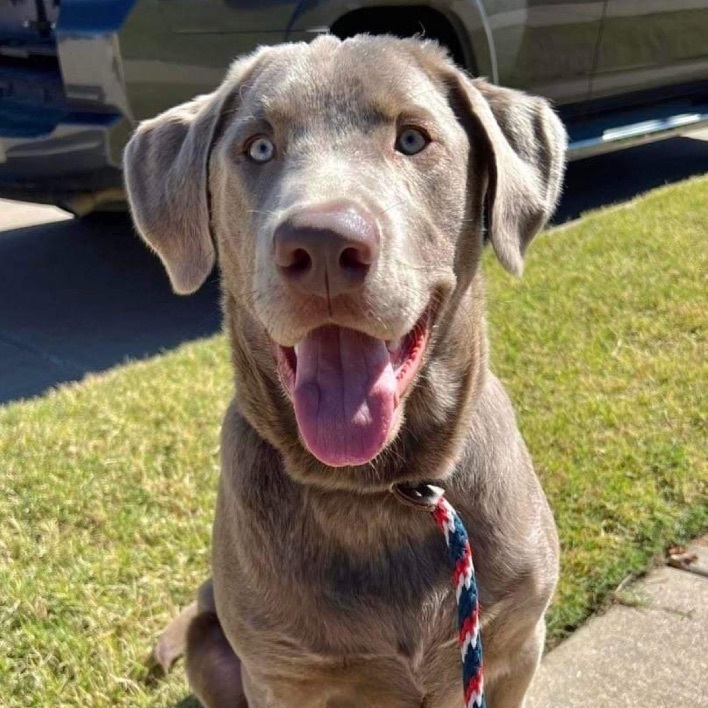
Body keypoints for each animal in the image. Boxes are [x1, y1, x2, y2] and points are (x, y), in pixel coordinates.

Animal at [124, 34, 568, 708]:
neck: (378, 488)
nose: (323, 244)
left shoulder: (516, 643)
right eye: (258, 146)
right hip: (211, 643)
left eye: (411, 138)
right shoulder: (282, 678)